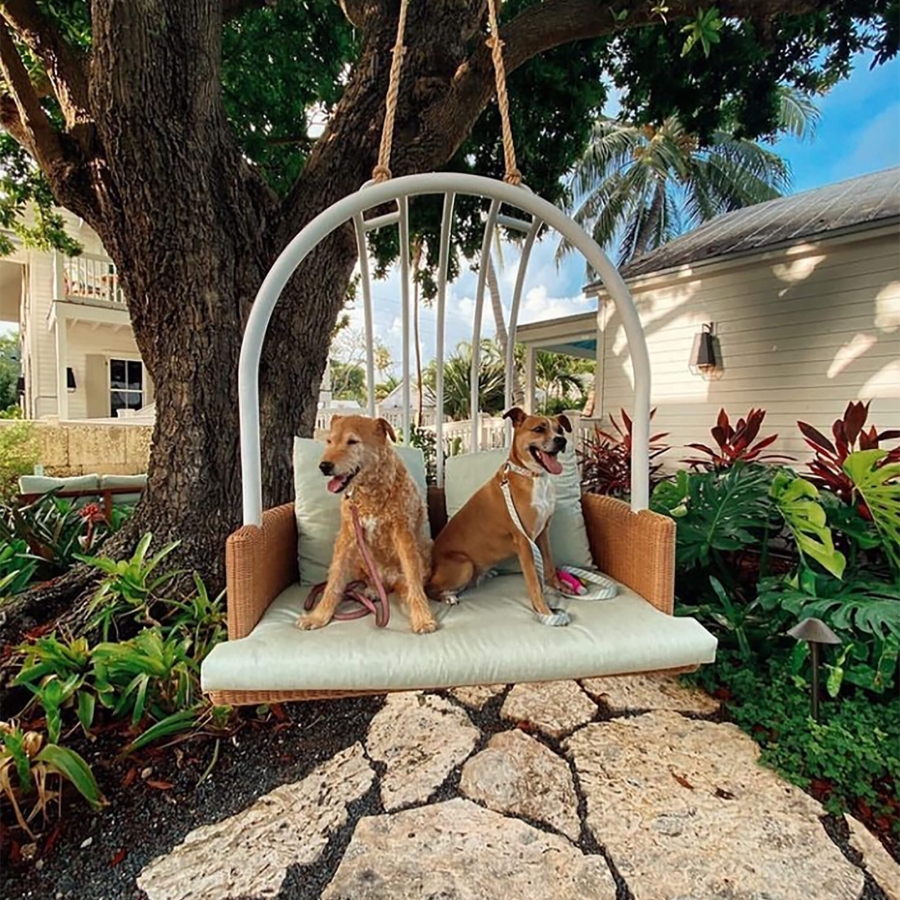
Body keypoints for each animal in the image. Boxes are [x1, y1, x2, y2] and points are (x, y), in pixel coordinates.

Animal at [298, 416, 438, 636]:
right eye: (329, 441)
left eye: (352, 442)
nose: (324, 466)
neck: (370, 492)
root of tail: (389, 579)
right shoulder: (347, 535)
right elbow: (334, 579)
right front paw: (318, 616)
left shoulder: (403, 534)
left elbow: (413, 579)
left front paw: (422, 618)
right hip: (359, 556)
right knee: (371, 580)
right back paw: (373, 589)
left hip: (424, 551)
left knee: (409, 582)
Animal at [428, 408, 568, 620]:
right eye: (539, 429)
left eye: (560, 429)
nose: (562, 441)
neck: (532, 476)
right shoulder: (524, 541)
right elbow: (534, 582)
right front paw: (545, 612)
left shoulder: (543, 532)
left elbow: (550, 566)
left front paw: (560, 588)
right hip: (464, 565)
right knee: (429, 588)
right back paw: (448, 596)